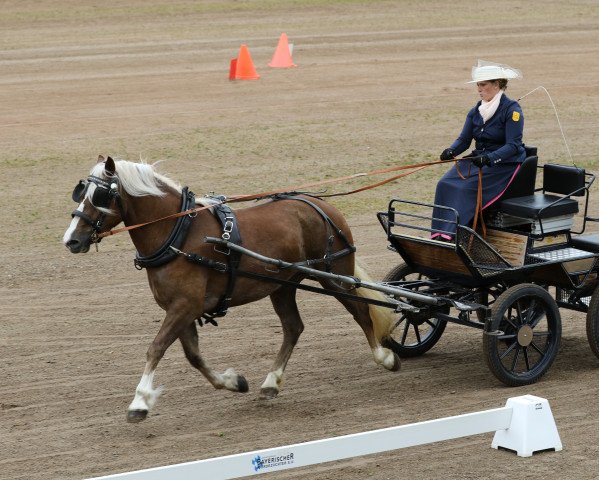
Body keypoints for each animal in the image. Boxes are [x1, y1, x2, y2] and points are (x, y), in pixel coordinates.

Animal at [63, 156, 400, 422]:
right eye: (81, 192)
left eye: (101, 195)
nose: (71, 240)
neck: (178, 234)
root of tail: (321, 204)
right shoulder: (182, 308)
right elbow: (193, 356)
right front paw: (233, 382)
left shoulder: (184, 305)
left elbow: (156, 348)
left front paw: (139, 402)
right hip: (283, 286)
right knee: (293, 327)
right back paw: (271, 382)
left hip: (334, 275)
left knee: (361, 311)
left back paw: (384, 357)